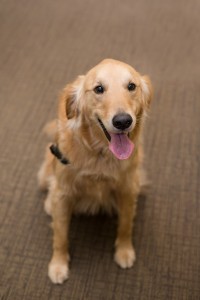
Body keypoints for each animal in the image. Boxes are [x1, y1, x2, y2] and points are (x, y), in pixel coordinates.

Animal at [38, 58, 153, 284]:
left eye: (131, 86)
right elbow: (60, 234)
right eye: (99, 89)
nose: (123, 121)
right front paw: (58, 264)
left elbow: (125, 224)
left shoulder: (128, 187)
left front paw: (124, 251)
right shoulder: (63, 193)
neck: (100, 154)